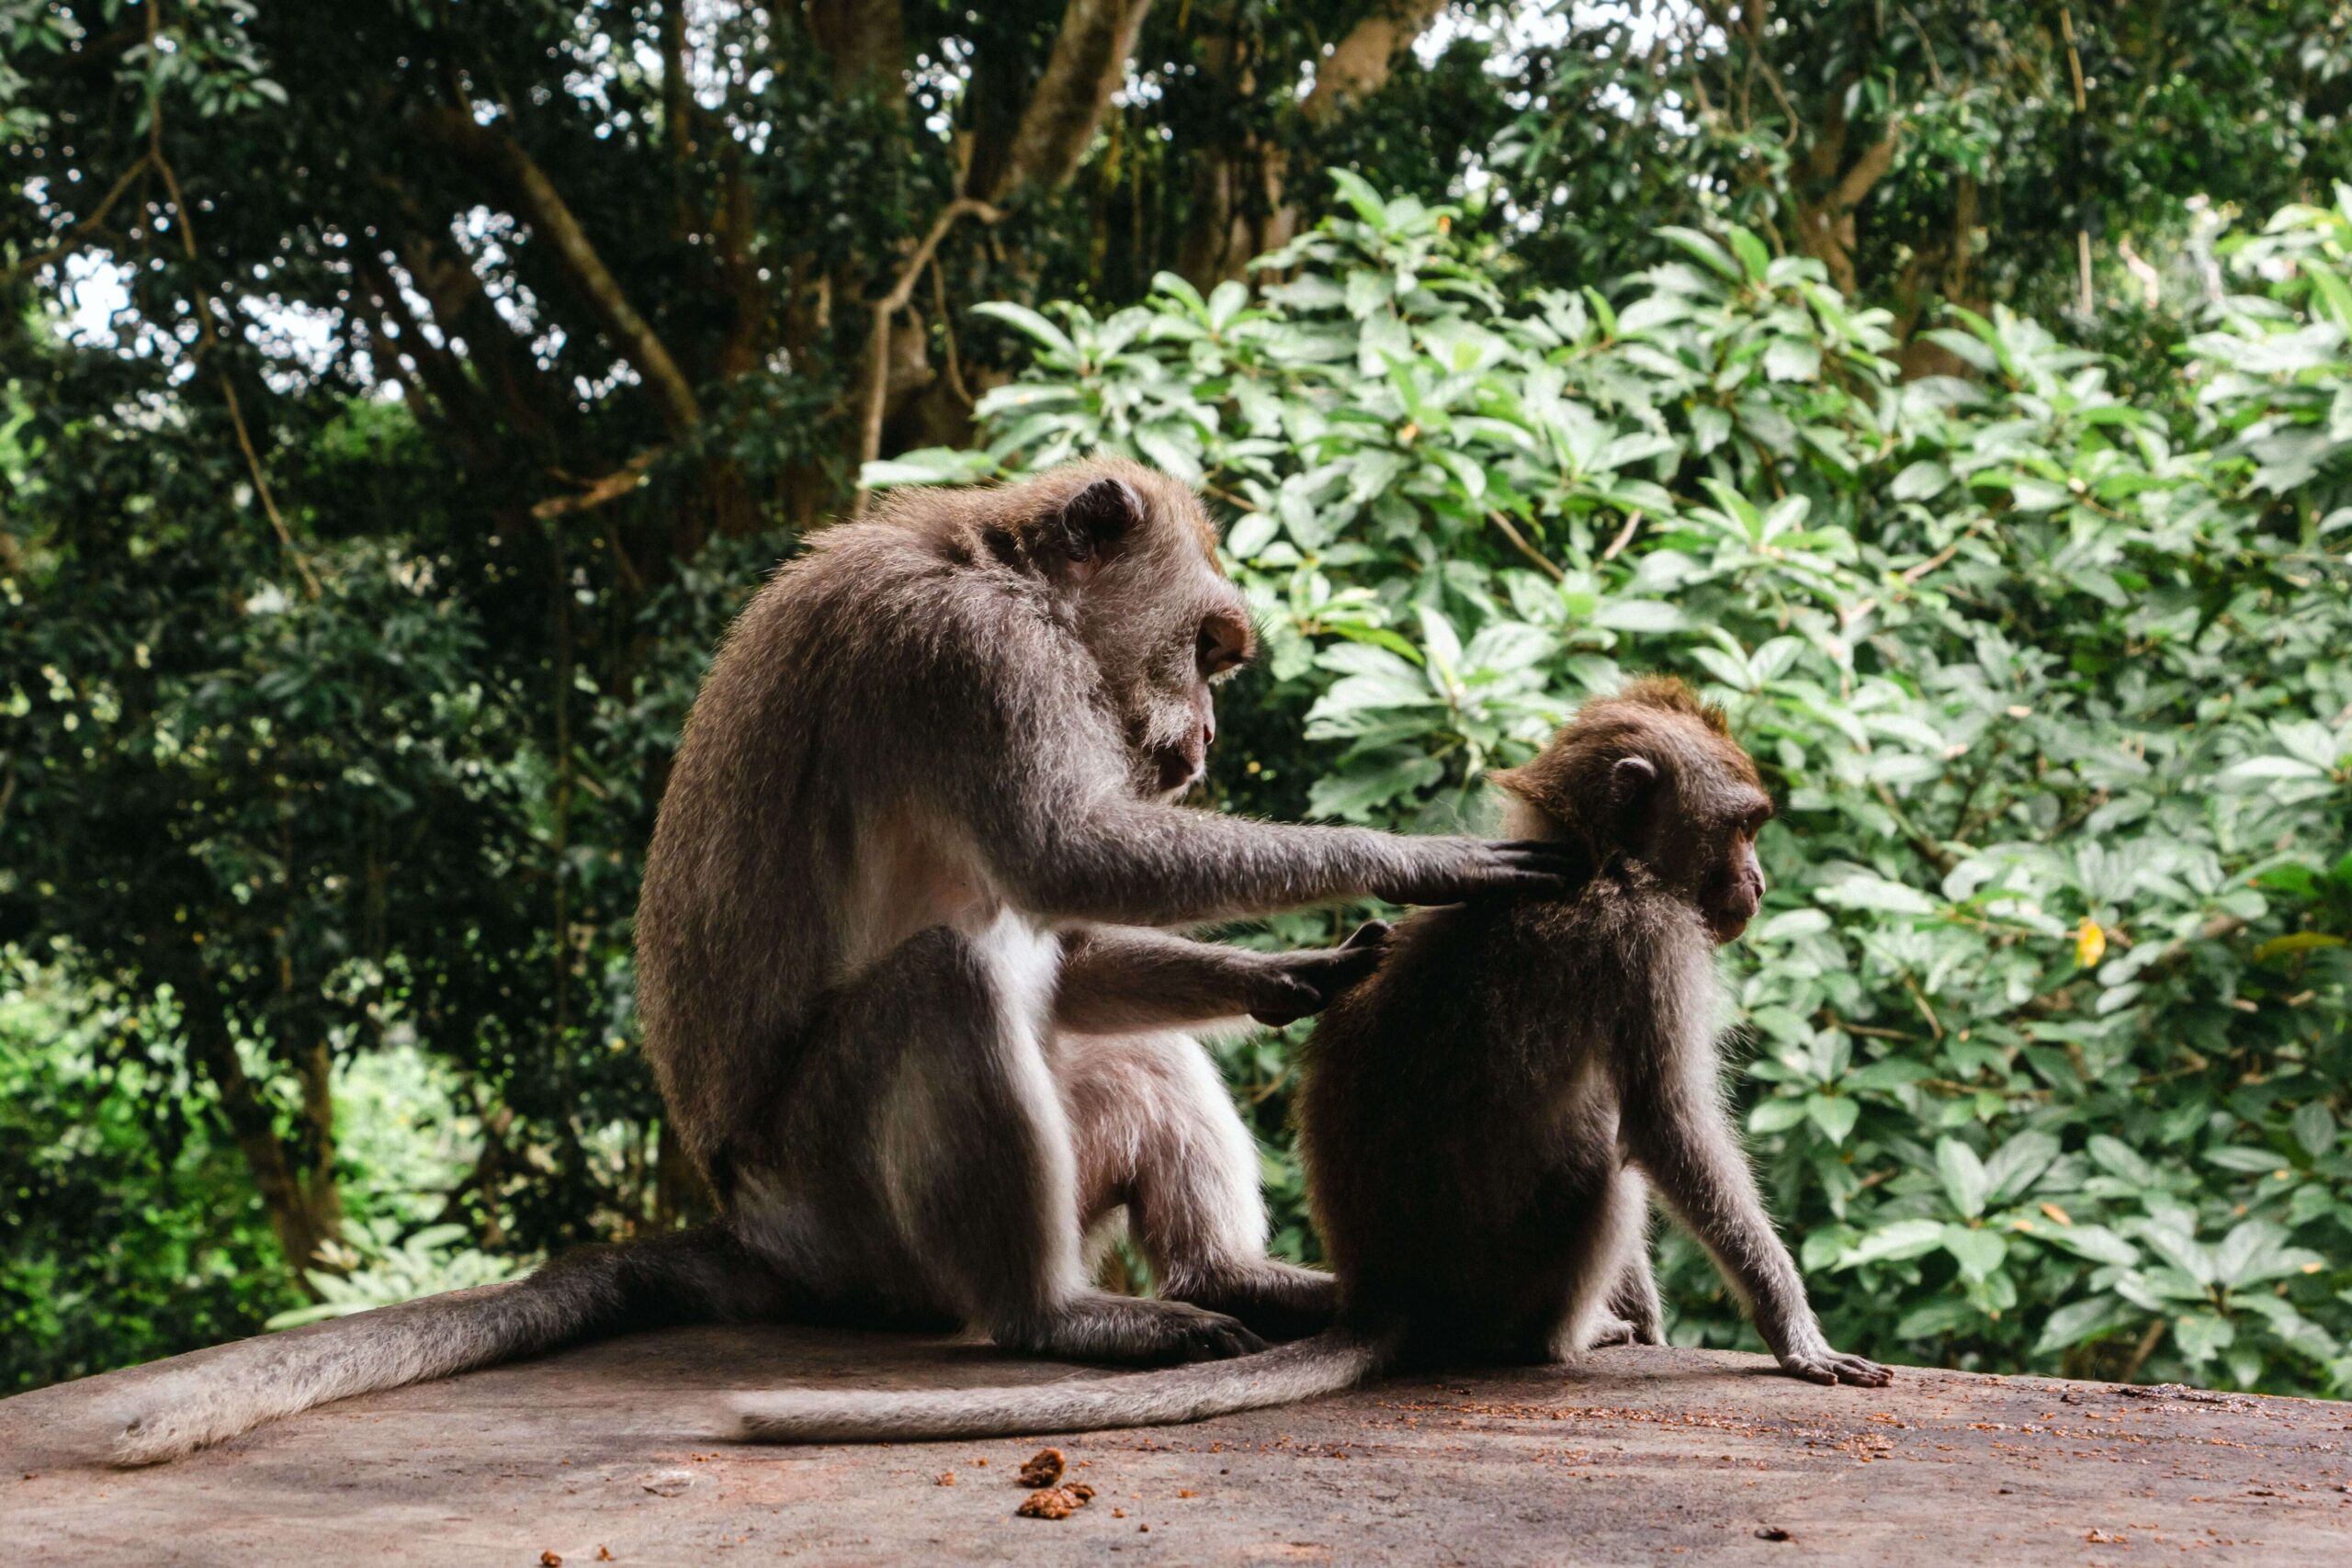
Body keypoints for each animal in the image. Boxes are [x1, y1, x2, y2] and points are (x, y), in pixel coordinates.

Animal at [95, 458, 1577, 1466]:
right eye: (1207, 651)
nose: (1207, 742)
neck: (999, 566)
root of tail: (754, 1229)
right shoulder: (978, 663)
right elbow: (1066, 856)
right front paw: (1416, 853)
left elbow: (1074, 940)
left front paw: (1301, 974)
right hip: (849, 1210)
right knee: (949, 985)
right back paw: (1055, 1314)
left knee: (1101, 1035)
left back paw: (1230, 1279)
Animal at [724, 676, 1889, 1444]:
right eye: (1742, 828)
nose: (1756, 886)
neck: (1600, 862)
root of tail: (1391, 1291)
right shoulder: (1648, 942)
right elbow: (1664, 1125)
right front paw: (1792, 1333)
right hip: (1531, 1270)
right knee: (1603, 1172)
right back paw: (1570, 1342)